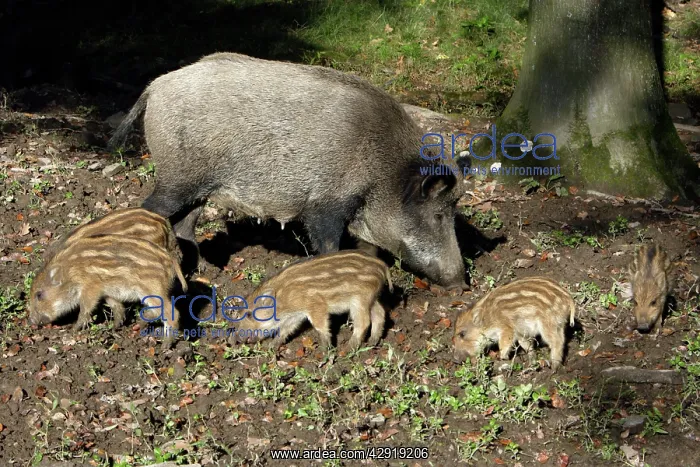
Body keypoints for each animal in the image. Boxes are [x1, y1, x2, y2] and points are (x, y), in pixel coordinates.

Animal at [28, 234, 188, 349]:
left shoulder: (91, 287)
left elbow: (85, 308)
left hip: (152, 288)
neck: (70, 272)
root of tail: (169, 259)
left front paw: (74, 329)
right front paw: (115, 327)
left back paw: (165, 346)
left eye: (39, 295)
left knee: (171, 311)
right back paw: (139, 324)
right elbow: (116, 305)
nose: (31, 322)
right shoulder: (107, 291)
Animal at [108, 52, 470, 289]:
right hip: (176, 177)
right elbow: (328, 245)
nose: (462, 286)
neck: (384, 172)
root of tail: (155, 86)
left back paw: (207, 274)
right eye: (438, 215)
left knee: (184, 224)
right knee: (151, 210)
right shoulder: (325, 205)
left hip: (198, 187)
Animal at [227, 250, 392, 350]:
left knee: (364, 322)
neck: (283, 297)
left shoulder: (316, 305)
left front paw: (325, 351)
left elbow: (320, 326)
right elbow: (286, 329)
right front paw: (272, 346)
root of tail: (383, 266)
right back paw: (373, 341)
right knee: (380, 313)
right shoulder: (296, 316)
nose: (234, 340)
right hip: (371, 298)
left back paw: (348, 348)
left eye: (249, 314)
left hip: (359, 300)